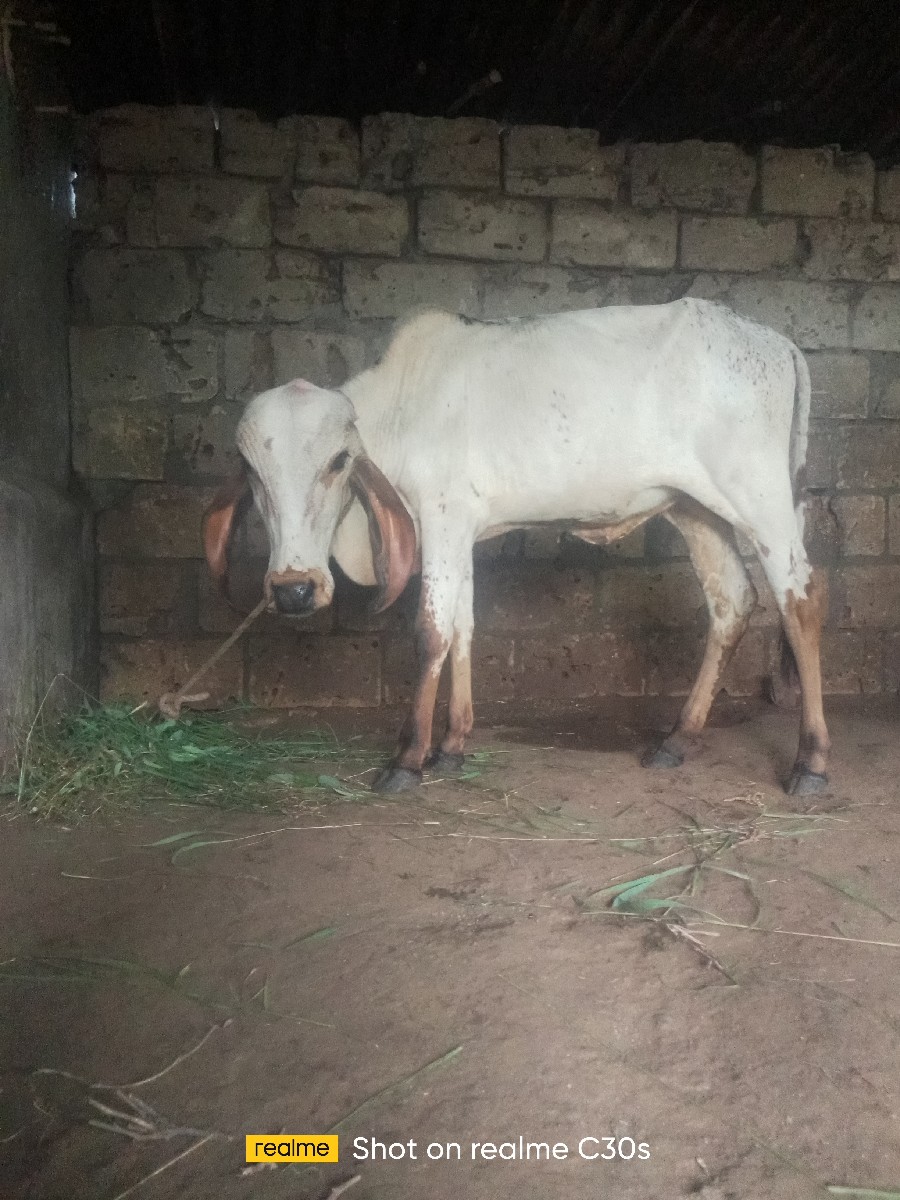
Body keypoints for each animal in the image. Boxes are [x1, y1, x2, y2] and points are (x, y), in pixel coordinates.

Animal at [204, 299, 830, 796]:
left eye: (338, 461)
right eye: (252, 472)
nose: (294, 589)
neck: (401, 409)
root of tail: (776, 342)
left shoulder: (442, 517)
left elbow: (430, 633)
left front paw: (408, 758)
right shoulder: (460, 532)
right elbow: (461, 629)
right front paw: (452, 746)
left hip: (760, 499)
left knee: (801, 599)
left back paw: (811, 763)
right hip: (696, 509)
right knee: (732, 602)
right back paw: (676, 739)